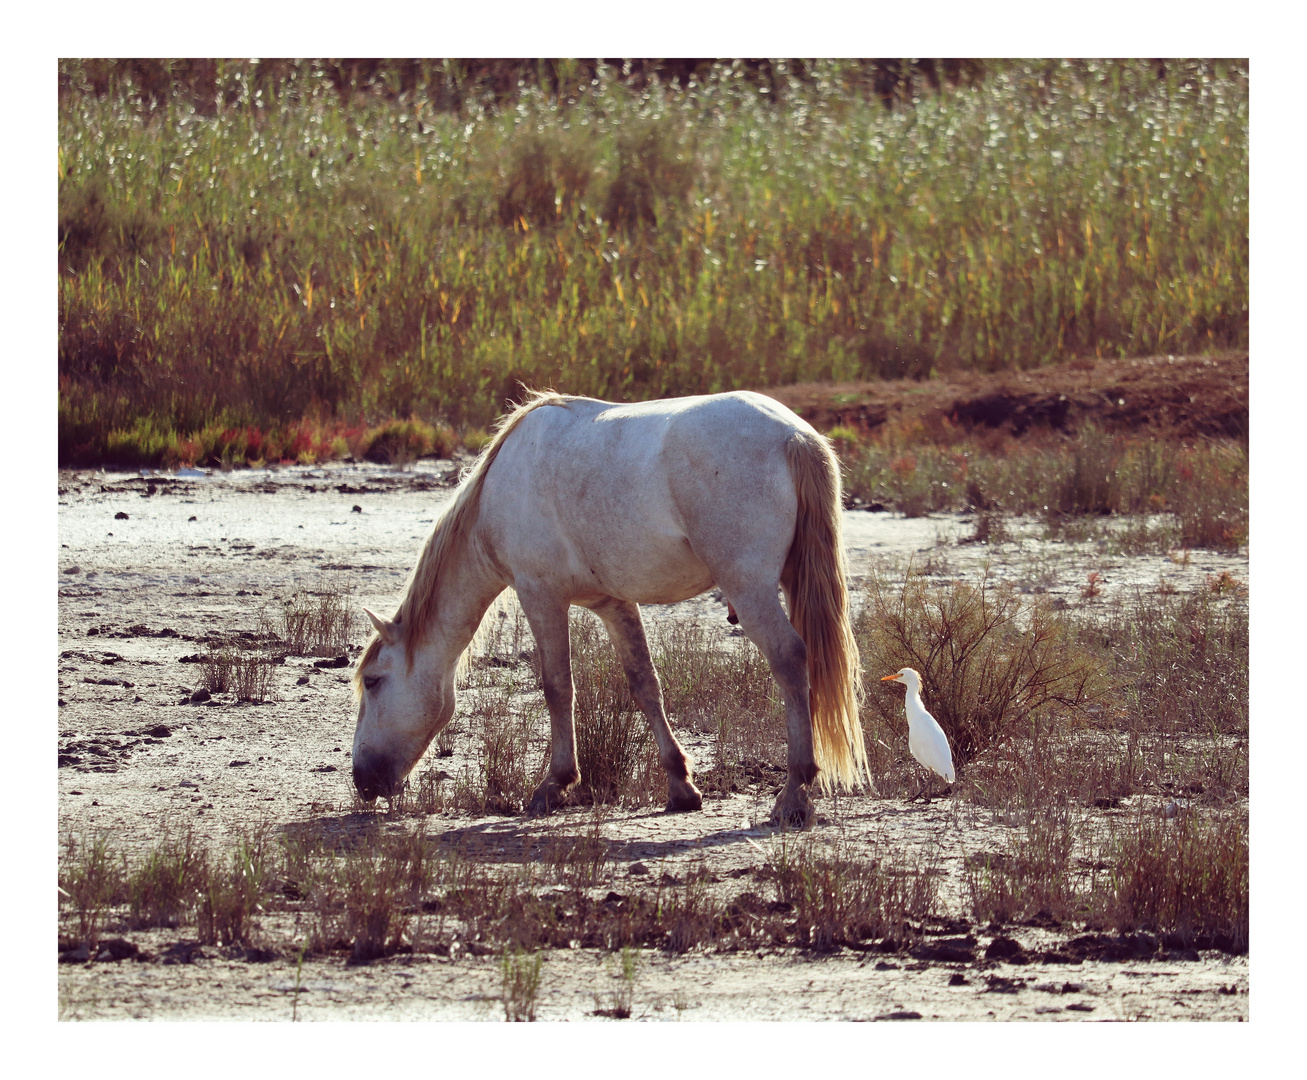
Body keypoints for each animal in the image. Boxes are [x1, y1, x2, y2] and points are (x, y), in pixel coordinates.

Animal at [352, 392, 873, 821]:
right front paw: (680, 785)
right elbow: (645, 685)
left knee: (790, 660)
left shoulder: (540, 596)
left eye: (373, 681)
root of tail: (794, 434)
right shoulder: (613, 604)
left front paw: (554, 785)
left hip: (750, 590)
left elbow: (557, 687)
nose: (362, 781)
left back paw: (794, 793)